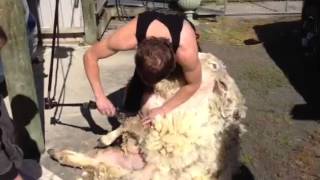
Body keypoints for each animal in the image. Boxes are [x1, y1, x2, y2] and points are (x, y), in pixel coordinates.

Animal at [48, 52, 248, 179]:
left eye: (212, 65)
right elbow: (128, 123)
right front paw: (106, 137)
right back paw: (62, 152)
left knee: (108, 167)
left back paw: (62, 154)